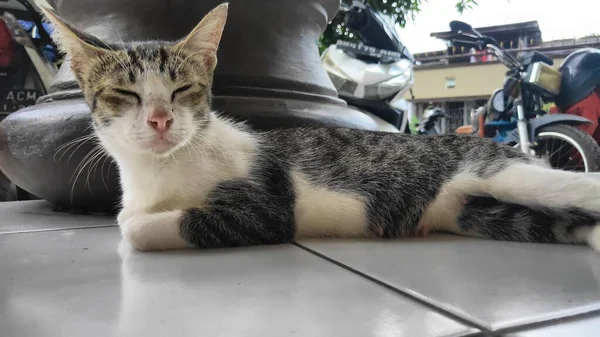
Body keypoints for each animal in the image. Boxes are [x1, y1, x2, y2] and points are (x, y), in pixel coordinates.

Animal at [42, 3, 600, 251]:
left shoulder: (266, 210)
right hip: (481, 212)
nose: (160, 119)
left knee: (584, 188)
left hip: (506, 175)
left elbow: (133, 227)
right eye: (126, 95)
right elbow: (127, 217)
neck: (161, 173)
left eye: (182, 91)